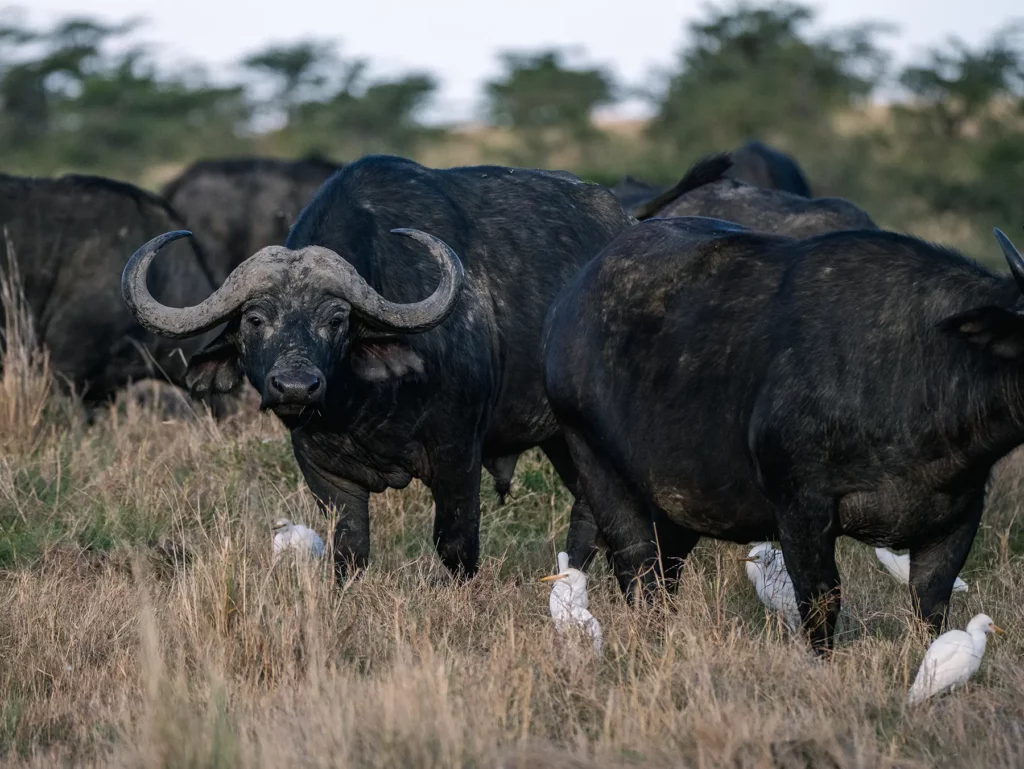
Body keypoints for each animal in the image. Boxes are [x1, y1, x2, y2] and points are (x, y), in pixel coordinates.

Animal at [543, 214, 1024, 652]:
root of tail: (567, 303)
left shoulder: (959, 519)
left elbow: (930, 609)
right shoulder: (801, 511)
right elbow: (821, 602)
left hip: (676, 502)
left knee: (665, 570)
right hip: (592, 457)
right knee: (634, 564)